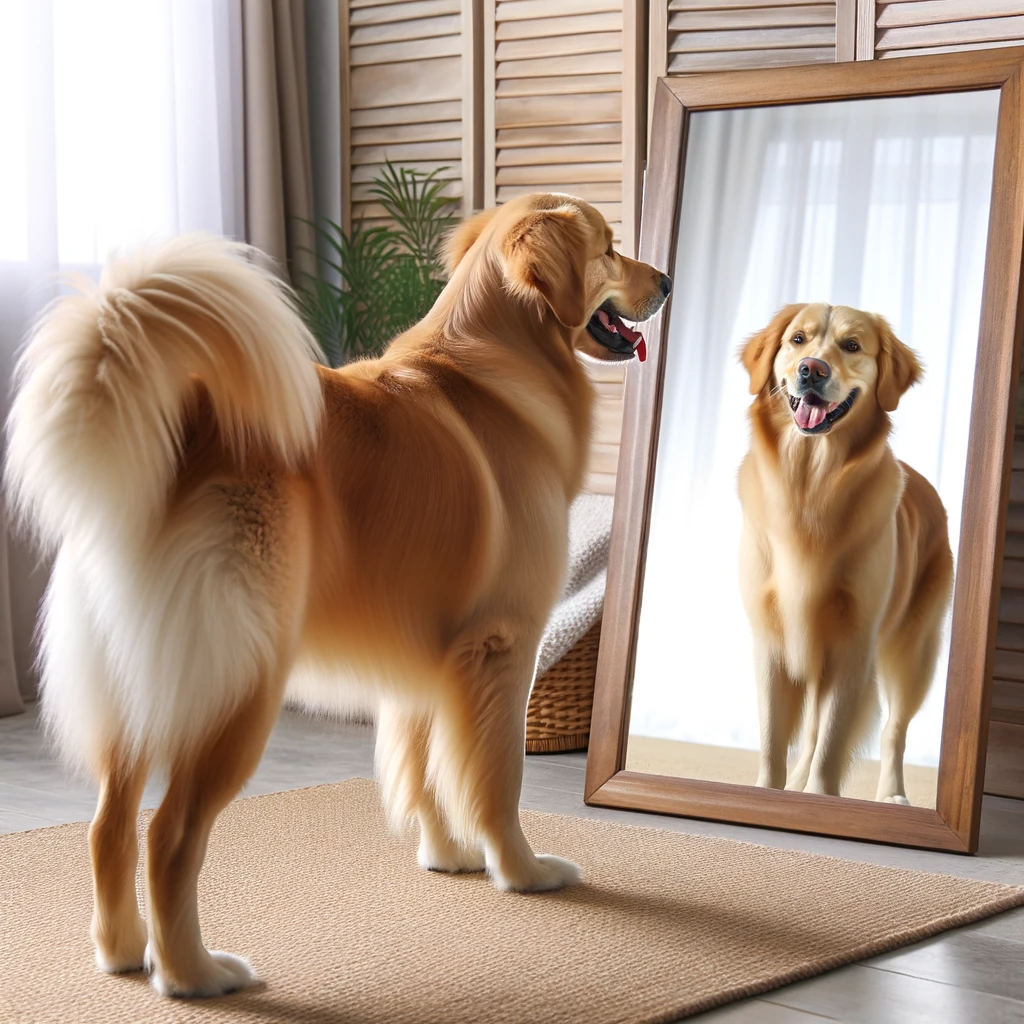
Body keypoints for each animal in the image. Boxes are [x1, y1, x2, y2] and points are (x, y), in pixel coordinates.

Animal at [6, 193, 671, 999]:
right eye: (608, 249)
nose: (668, 281)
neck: (497, 366)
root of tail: (184, 428)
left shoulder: (424, 656)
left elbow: (420, 769)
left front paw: (447, 857)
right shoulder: (502, 643)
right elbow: (498, 779)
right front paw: (522, 871)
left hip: (141, 683)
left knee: (108, 824)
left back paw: (123, 952)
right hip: (239, 684)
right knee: (169, 834)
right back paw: (196, 973)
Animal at [737, 303, 950, 806]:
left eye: (852, 345)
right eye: (798, 339)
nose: (811, 370)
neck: (810, 486)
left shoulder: (855, 641)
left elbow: (833, 741)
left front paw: (820, 797)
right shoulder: (770, 639)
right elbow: (774, 737)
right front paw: (770, 794)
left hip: (913, 651)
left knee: (893, 731)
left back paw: (893, 796)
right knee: (814, 731)